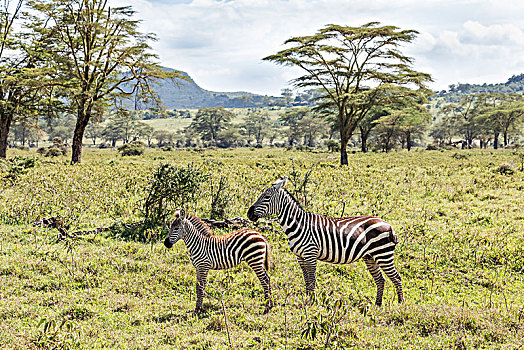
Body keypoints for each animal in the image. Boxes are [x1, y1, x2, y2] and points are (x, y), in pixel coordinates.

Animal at [248, 178, 404, 306]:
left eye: (266, 197)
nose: (249, 214)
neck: (298, 225)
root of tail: (388, 225)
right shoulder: (300, 257)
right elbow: (306, 280)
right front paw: (307, 300)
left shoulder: (310, 254)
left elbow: (311, 280)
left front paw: (311, 302)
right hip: (370, 256)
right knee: (380, 279)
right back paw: (378, 305)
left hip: (383, 254)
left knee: (396, 277)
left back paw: (400, 304)